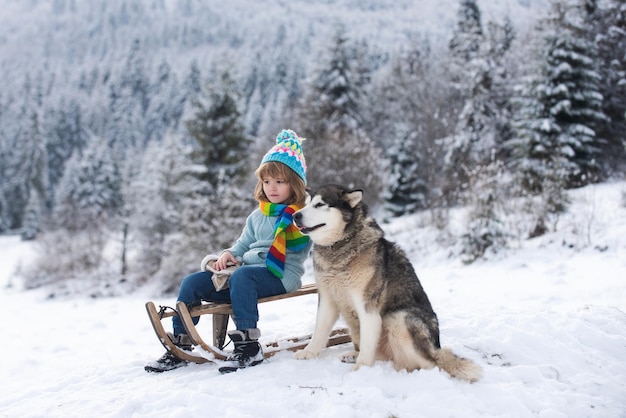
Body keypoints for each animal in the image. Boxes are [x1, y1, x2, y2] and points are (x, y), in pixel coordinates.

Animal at [292, 184, 482, 382]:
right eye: (307, 203)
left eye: (320, 204)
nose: (295, 216)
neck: (340, 244)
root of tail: (436, 348)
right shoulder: (327, 299)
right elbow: (319, 331)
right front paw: (309, 352)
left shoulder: (367, 307)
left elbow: (367, 344)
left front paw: (360, 369)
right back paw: (353, 355)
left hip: (398, 318)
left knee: (431, 364)